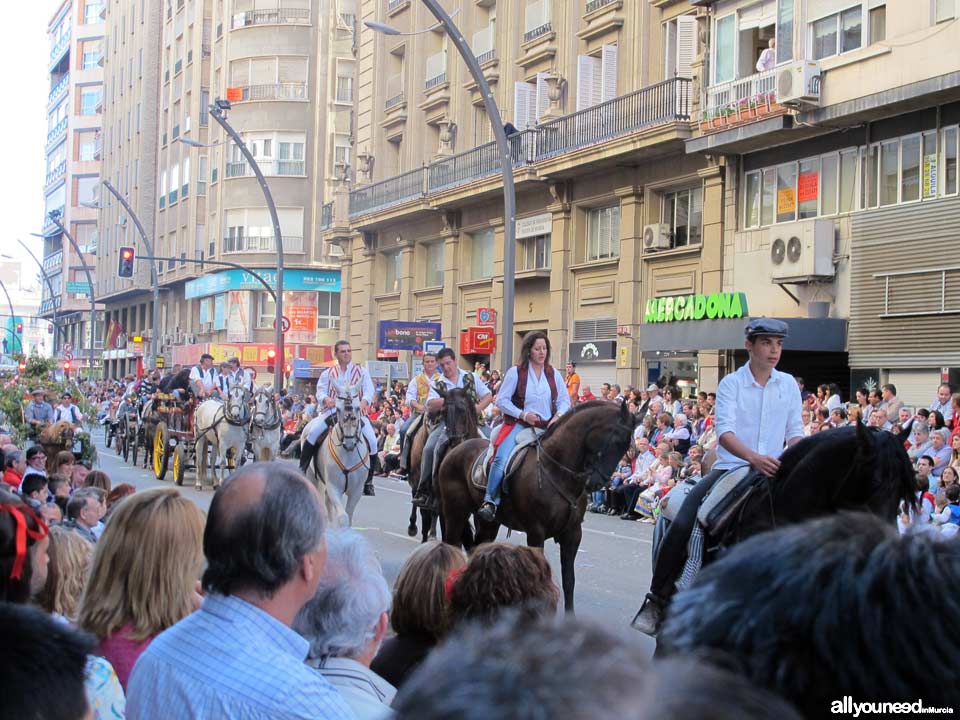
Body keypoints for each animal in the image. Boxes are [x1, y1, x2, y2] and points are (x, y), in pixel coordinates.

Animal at [436, 400, 632, 612]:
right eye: (616, 441)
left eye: (627, 446)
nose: (599, 483)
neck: (557, 471)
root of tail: (456, 449)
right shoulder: (536, 533)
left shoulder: (572, 534)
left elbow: (568, 581)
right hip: (455, 512)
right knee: (450, 545)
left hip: (489, 522)